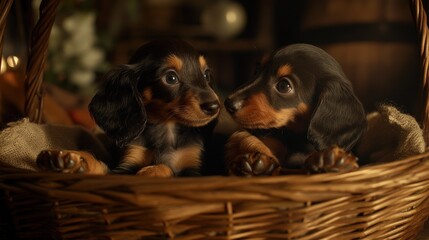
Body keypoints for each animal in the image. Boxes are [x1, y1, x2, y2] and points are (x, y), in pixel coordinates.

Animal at [35, 39, 219, 177]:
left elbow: (167, 167)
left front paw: (151, 171)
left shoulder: (193, 168)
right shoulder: (126, 163)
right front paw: (73, 160)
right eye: (171, 77)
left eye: (206, 75)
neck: (165, 129)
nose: (214, 106)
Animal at [224, 43, 364, 175]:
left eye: (283, 86)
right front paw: (258, 161)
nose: (228, 103)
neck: (294, 139)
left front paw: (333, 160)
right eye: (257, 70)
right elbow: (243, 137)